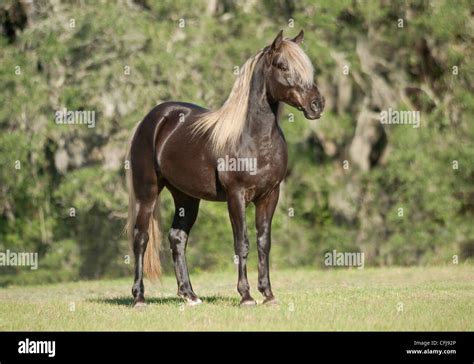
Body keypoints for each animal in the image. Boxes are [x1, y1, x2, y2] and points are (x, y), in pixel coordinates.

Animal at [126, 29, 326, 308]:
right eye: (282, 65)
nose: (317, 105)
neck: (253, 139)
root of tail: (152, 119)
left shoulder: (269, 196)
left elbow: (264, 243)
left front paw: (268, 294)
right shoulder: (237, 196)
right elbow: (242, 243)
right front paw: (246, 296)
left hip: (186, 197)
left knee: (177, 237)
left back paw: (190, 295)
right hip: (147, 193)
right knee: (141, 238)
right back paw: (139, 298)